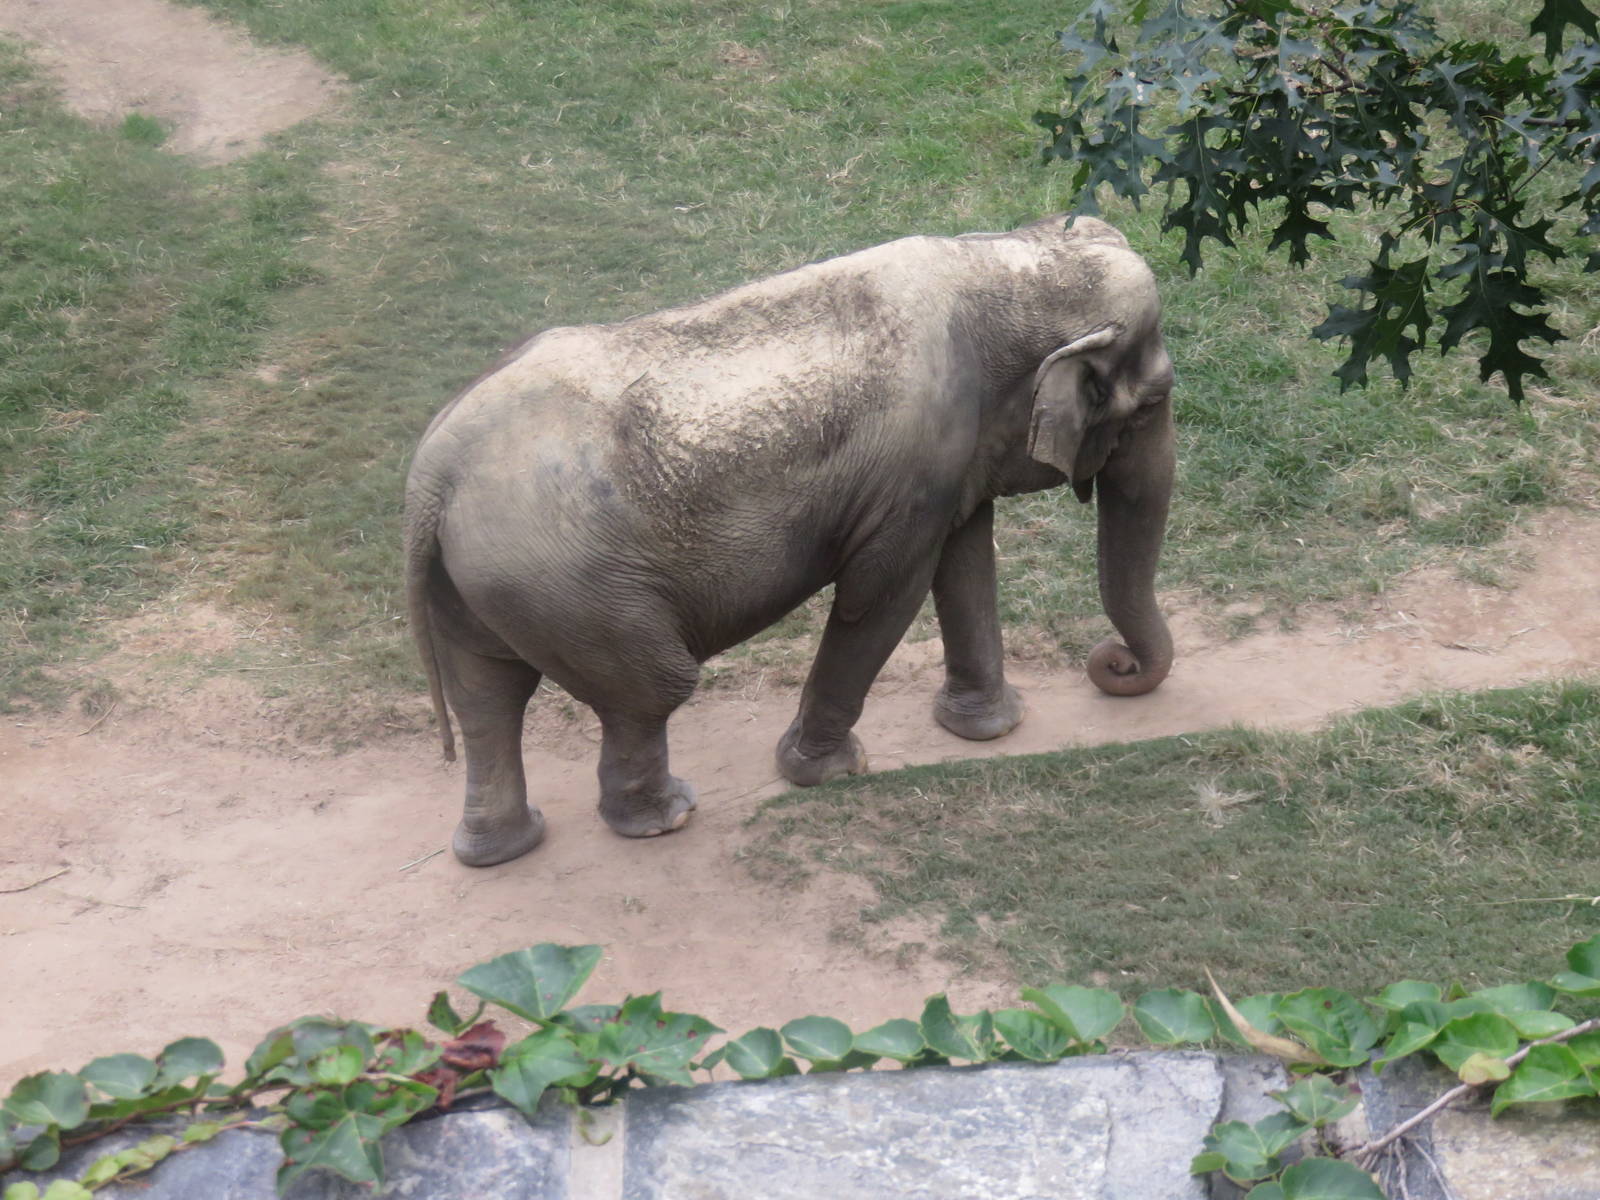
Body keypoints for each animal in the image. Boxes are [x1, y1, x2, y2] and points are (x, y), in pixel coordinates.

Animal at [403, 214, 1175, 866]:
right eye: (1152, 404)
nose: (1113, 663)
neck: (1001, 260)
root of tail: (432, 476)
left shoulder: (952, 458)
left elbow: (963, 561)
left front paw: (990, 731)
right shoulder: (912, 471)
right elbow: (882, 594)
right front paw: (830, 772)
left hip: (484, 583)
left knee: (487, 697)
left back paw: (503, 848)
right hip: (568, 586)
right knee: (649, 690)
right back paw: (665, 818)